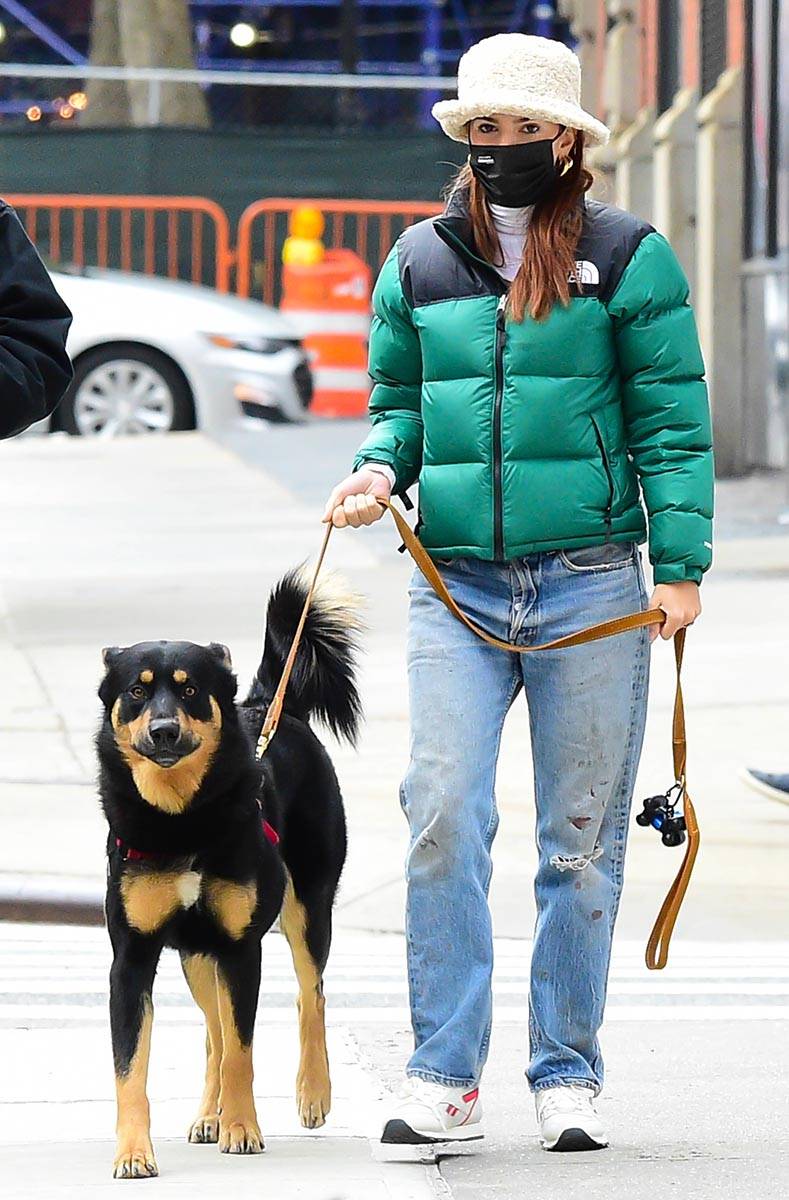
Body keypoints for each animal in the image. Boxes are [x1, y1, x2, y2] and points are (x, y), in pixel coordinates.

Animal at [95, 566, 362, 1176]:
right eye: (137, 690)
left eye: (191, 688)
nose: (164, 730)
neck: (181, 819)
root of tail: (270, 704)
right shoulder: (132, 959)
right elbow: (131, 1070)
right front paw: (133, 1153)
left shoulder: (241, 949)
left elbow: (243, 1050)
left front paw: (242, 1128)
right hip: (196, 953)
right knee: (213, 1034)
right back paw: (207, 1114)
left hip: (307, 907)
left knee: (309, 994)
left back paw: (313, 1092)